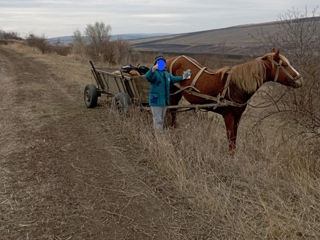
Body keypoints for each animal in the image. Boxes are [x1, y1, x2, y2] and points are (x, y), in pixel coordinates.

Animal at [166, 49, 304, 155]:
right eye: (284, 65)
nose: (300, 80)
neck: (236, 87)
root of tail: (170, 60)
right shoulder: (228, 116)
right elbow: (230, 140)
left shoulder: (238, 116)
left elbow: (234, 139)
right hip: (173, 96)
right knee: (171, 114)